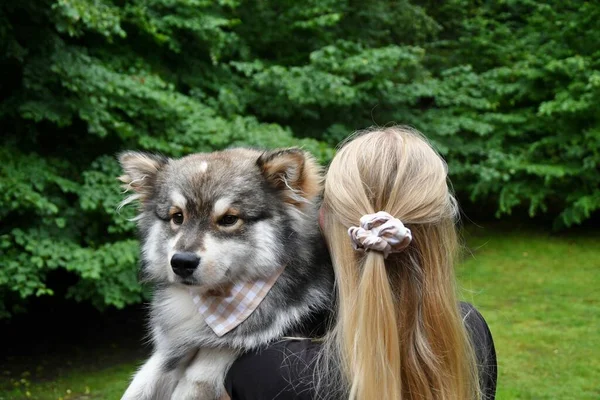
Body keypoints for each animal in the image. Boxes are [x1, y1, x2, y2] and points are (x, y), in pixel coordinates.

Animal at [116, 148, 332, 398]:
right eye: (177, 217)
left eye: (229, 219)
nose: (181, 262)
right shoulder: (168, 353)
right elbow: (140, 385)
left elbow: (202, 372)